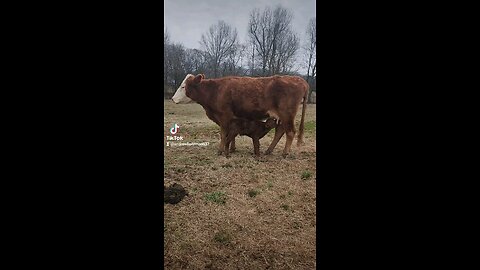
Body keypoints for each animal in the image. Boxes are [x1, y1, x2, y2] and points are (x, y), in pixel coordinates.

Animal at [172, 74, 308, 158]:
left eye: (183, 86)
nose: (173, 99)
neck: (216, 91)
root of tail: (300, 80)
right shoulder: (232, 119)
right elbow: (231, 135)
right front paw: (232, 149)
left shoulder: (224, 116)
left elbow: (223, 134)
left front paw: (221, 150)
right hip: (281, 117)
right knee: (280, 131)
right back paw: (269, 151)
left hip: (287, 114)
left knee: (290, 132)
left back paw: (285, 153)